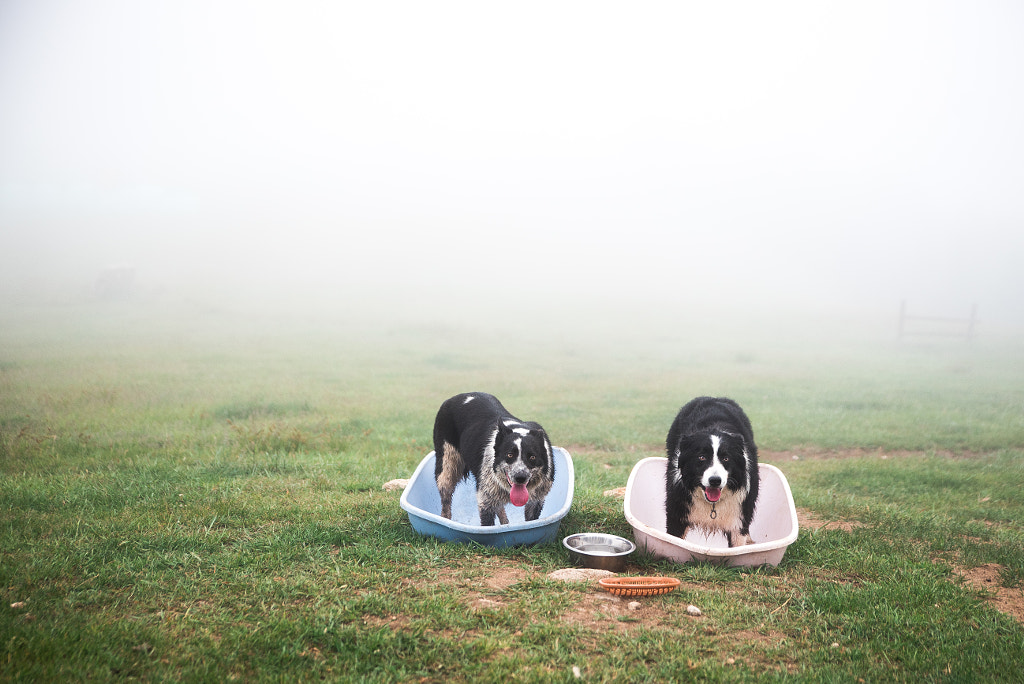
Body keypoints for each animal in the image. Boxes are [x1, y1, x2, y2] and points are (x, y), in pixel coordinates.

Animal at [436, 393, 557, 528]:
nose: (520, 477)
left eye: (532, 457)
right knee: (446, 499)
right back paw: (445, 519)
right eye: (509, 455)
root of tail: (457, 396)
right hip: (446, 468)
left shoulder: (537, 500)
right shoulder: (485, 499)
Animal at [663, 395, 761, 544]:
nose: (715, 481)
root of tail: (713, 397)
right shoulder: (678, 512)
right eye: (702, 457)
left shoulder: (739, 515)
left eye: (726, 458)